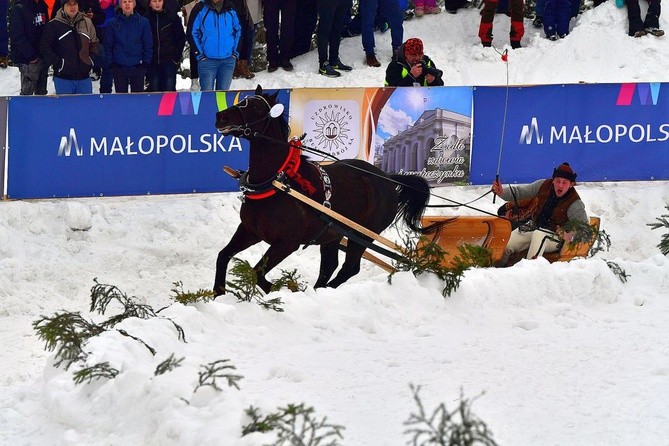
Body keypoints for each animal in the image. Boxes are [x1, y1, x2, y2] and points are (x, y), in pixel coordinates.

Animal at [214, 86, 444, 296]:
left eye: (254, 106)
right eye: (243, 100)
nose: (220, 116)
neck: (276, 182)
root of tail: (387, 178)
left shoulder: (287, 243)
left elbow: (257, 273)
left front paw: (288, 288)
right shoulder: (250, 230)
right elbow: (223, 256)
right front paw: (218, 293)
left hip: (361, 235)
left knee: (349, 268)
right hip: (333, 234)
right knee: (330, 266)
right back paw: (318, 290)